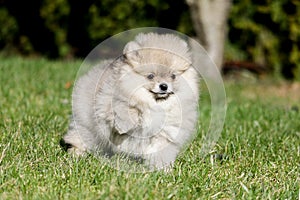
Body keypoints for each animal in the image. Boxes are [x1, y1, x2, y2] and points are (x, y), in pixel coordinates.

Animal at [62, 32, 199, 170]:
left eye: (173, 76)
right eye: (150, 76)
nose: (164, 86)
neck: (155, 104)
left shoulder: (165, 133)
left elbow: (160, 151)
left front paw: (162, 169)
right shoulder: (107, 103)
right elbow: (126, 109)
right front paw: (123, 125)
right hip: (87, 126)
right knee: (80, 137)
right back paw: (76, 153)